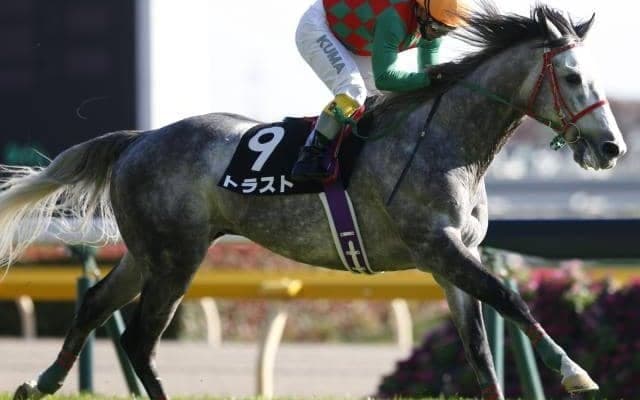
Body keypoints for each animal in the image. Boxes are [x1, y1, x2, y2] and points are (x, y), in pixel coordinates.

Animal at [2, 4, 626, 400]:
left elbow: (480, 353)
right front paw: (575, 372)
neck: (446, 141)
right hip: (177, 259)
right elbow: (512, 298)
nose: (612, 147)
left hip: (148, 253)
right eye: (572, 77)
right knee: (138, 338)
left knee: (94, 304)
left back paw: (41, 382)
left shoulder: (454, 262)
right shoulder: (438, 247)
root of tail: (140, 139)